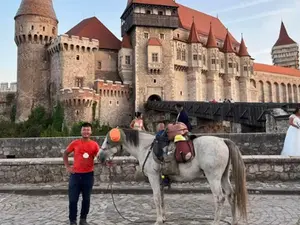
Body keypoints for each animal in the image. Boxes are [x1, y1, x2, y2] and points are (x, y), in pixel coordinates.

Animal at [99, 128, 247, 225]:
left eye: (107, 141)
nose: (99, 157)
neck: (145, 148)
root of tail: (223, 140)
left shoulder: (153, 176)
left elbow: (156, 198)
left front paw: (158, 220)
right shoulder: (160, 178)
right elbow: (162, 198)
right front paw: (163, 218)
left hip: (213, 177)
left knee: (219, 198)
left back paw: (216, 222)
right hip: (223, 176)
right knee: (230, 194)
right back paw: (234, 221)